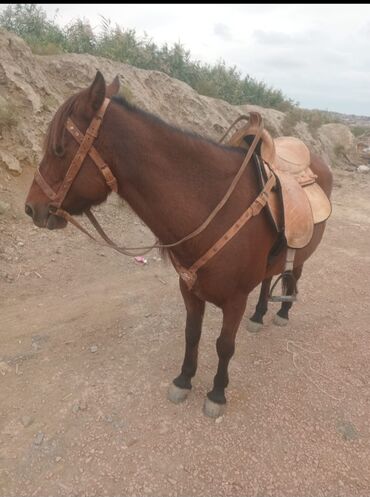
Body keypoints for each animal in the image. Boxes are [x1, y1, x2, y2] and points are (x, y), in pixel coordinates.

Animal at [25, 70, 332, 418]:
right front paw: (184, 380)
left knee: (295, 273)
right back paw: (259, 315)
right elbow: (192, 334)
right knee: (269, 279)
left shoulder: (235, 299)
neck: (217, 204)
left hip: (302, 253)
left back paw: (282, 312)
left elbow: (224, 345)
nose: (31, 207)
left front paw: (217, 393)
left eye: (59, 149)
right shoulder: (189, 289)